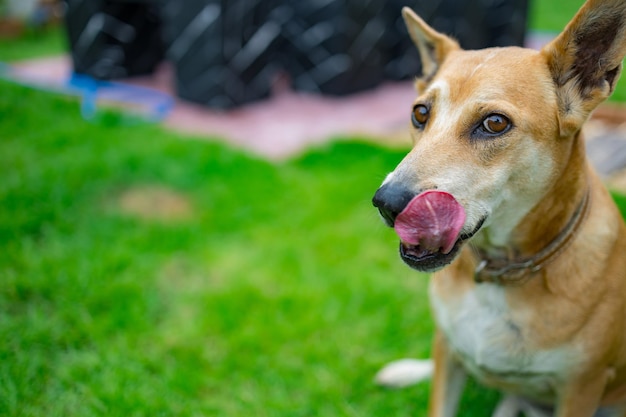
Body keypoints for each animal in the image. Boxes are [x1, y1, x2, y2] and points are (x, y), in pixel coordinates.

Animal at [372, 0, 626, 414]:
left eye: (494, 123)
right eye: (420, 113)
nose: (386, 203)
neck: (500, 270)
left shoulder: (581, 387)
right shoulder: (447, 352)